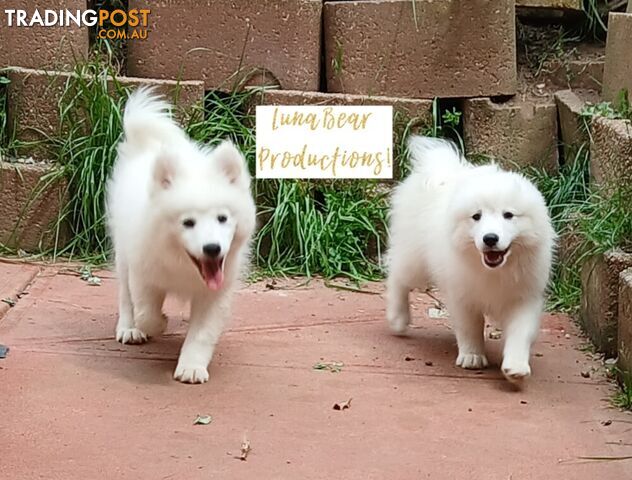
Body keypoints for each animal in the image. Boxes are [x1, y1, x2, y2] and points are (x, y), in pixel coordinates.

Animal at [107, 88, 256, 384]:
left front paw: (191, 367)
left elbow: (202, 333)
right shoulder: (144, 274)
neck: (185, 265)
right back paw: (128, 328)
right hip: (123, 252)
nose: (212, 248)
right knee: (125, 296)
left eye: (222, 218)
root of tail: (146, 148)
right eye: (188, 222)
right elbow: (146, 312)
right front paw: (157, 324)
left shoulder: (216, 293)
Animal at [386, 137, 552, 384]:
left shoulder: (524, 296)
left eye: (508, 215)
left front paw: (515, 367)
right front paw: (472, 356)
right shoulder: (462, 295)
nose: (490, 238)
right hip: (414, 256)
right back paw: (398, 318)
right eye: (476, 216)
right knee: (397, 275)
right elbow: (470, 327)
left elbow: (520, 332)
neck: (494, 271)